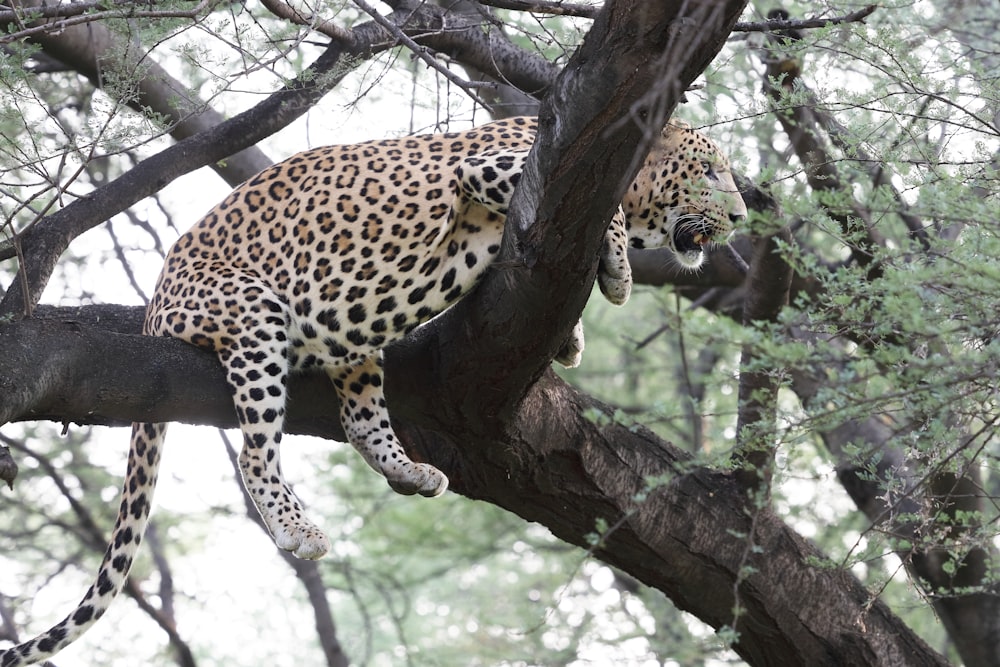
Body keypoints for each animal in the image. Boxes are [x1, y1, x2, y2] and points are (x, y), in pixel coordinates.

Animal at [0, 116, 748, 667]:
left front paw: (572, 337)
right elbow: (610, 218)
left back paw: (409, 469)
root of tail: (157, 298)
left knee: (362, 419)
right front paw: (617, 269)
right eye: (710, 171)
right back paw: (296, 526)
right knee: (253, 450)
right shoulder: (487, 169)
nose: (741, 216)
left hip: (355, 340)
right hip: (253, 312)